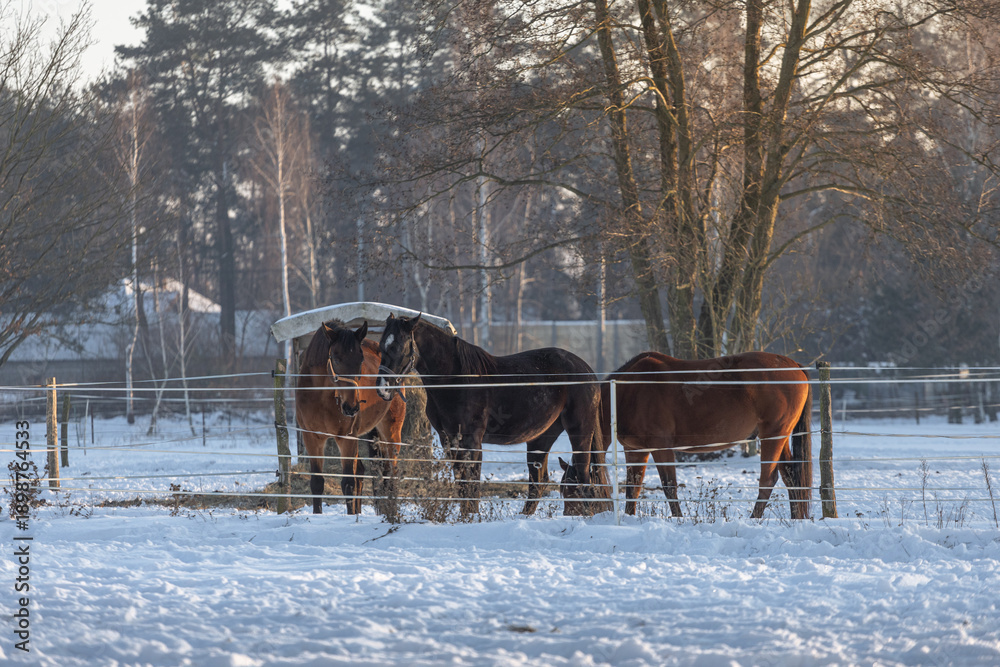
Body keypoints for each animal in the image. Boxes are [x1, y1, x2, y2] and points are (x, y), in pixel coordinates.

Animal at [294, 320, 406, 514]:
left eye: (360, 360)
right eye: (336, 358)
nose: (351, 407)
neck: (321, 395)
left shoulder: (346, 438)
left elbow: (347, 483)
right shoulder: (312, 437)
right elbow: (317, 483)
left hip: (390, 432)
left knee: (391, 476)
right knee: (363, 472)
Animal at [375, 313, 612, 516]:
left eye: (397, 345)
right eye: (380, 347)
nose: (382, 389)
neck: (456, 379)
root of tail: (586, 370)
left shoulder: (472, 440)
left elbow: (471, 483)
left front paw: (472, 517)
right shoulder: (449, 439)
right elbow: (462, 483)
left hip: (579, 431)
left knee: (584, 474)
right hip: (541, 437)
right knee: (539, 481)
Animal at [562, 351, 813, 519]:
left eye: (576, 490)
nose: (569, 515)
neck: (627, 392)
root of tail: (794, 366)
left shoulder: (661, 447)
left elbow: (669, 486)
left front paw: (679, 519)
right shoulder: (635, 450)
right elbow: (633, 488)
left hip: (774, 436)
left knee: (768, 480)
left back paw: (755, 518)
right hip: (779, 437)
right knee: (791, 476)